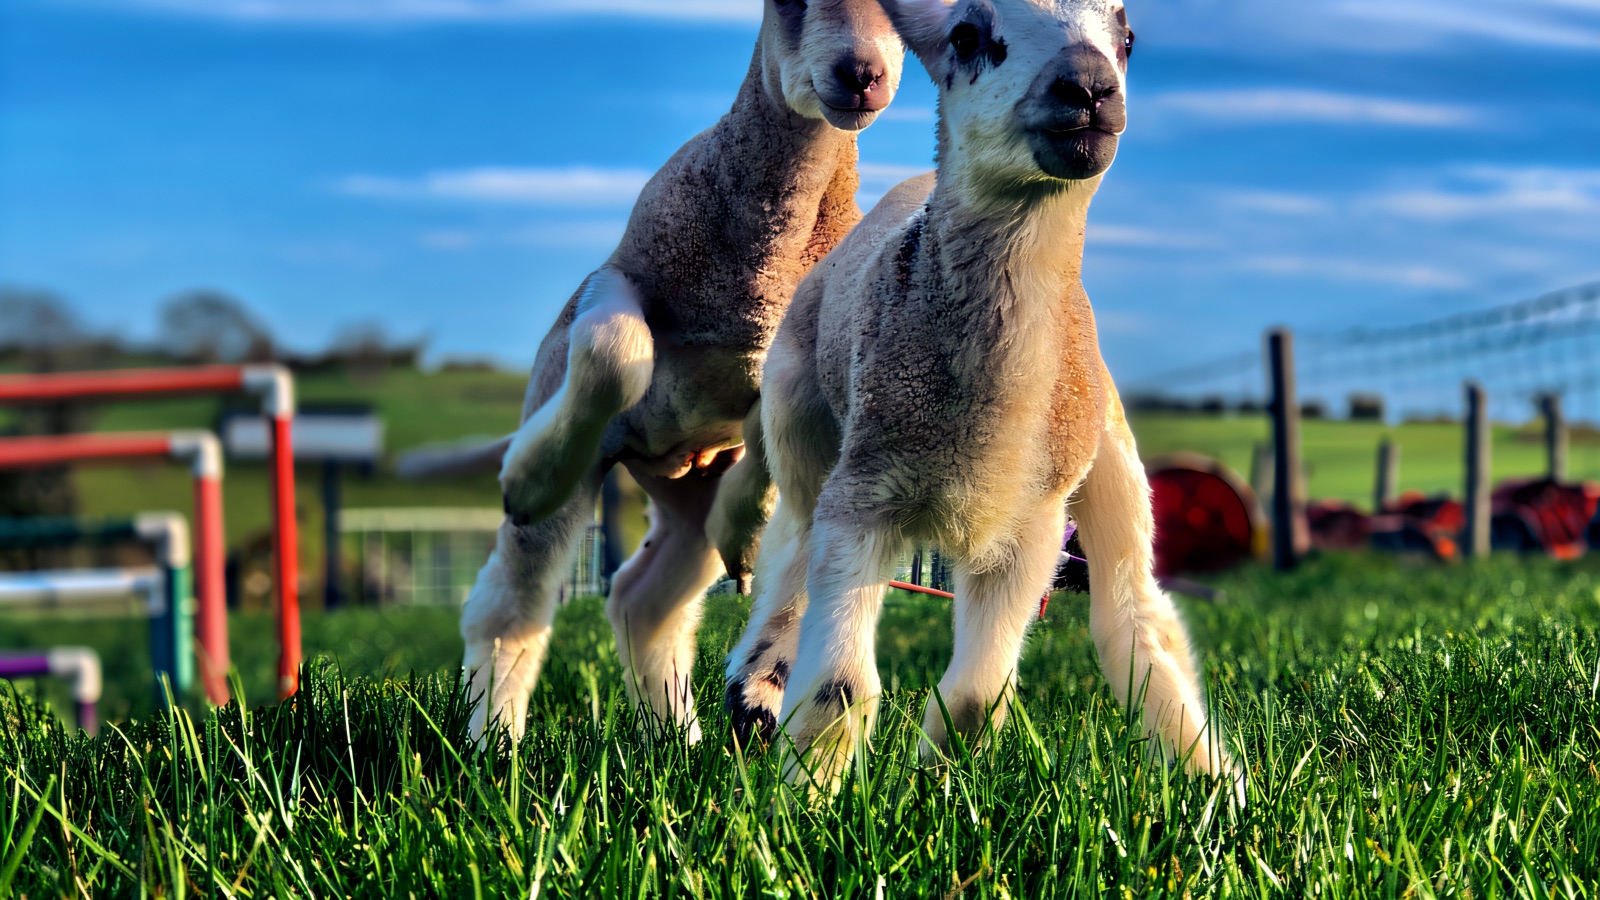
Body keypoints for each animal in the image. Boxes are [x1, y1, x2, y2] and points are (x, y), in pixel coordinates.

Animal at [455, 0, 906, 744]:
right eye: (785, 4)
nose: (861, 73)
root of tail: (660, 459)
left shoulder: (792, 354)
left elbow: (769, 445)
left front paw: (747, 534)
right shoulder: (619, 274)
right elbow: (614, 347)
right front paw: (529, 473)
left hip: (689, 498)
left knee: (647, 601)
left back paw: (689, 733)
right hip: (584, 438)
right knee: (511, 603)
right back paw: (494, 742)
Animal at [724, 0, 1242, 799]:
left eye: (1127, 38)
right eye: (968, 35)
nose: (1089, 87)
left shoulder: (1031, 525)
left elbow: (975, 696)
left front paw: (939, 779)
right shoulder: (864, 494)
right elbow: (842, 684)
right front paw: (808, 799)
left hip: (1106, 460)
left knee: (1136, 614)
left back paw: (1211, 783)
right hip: (800, 418)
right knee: (789, 545)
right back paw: (755, 688)